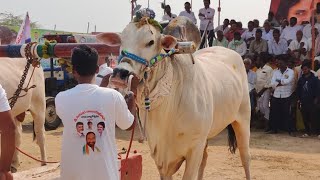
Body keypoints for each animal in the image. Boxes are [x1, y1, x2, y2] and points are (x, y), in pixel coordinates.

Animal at [96, 17, 251, 179]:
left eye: (151, 42)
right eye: (122, 40)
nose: (120, 74)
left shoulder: (194, 149)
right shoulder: (161, 157)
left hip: (243, 120)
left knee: (245, 157)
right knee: (205, 158)